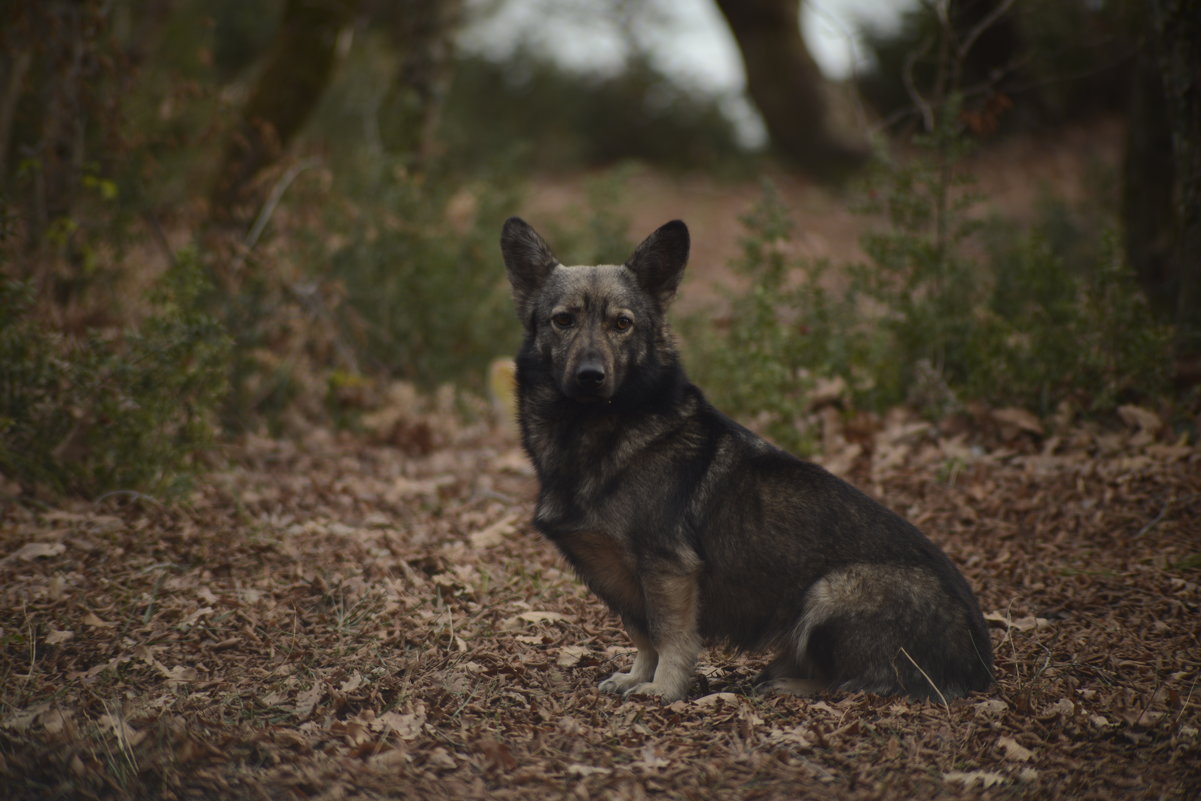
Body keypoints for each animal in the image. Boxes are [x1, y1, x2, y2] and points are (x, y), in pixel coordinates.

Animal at [499, 217, 994, 701]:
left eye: (622, 324)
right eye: (563, 320)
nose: (590, 376)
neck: (600, 430)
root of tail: (980, 666)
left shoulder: (667, 569)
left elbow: (669, 636)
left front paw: (664, 689)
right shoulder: (620, 578)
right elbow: (643, 635)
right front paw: (637, 677)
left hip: (829, 592)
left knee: (857, 684)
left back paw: (788, 684)